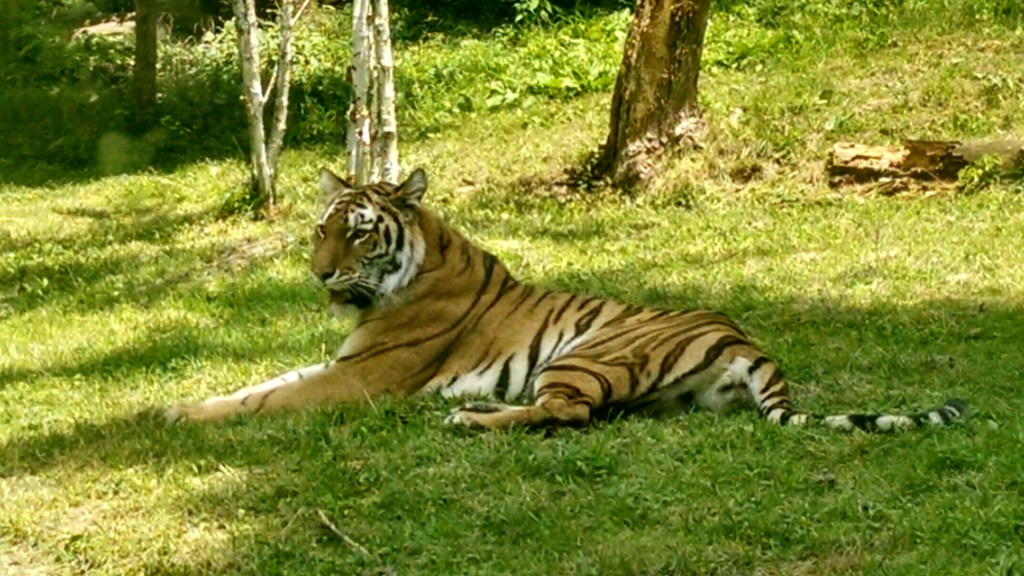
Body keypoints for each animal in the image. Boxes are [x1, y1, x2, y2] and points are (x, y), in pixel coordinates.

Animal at [165, 167, 968, 432]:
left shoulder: (363, 377)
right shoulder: (340, 362)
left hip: (583, 355)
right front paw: (176, 406)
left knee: (567, 416)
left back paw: (468, 418)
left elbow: (271, 398)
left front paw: (182, 418)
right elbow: (259, 382)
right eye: (321, 230)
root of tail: (748, 341)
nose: (322, 275)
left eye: (360, 234)